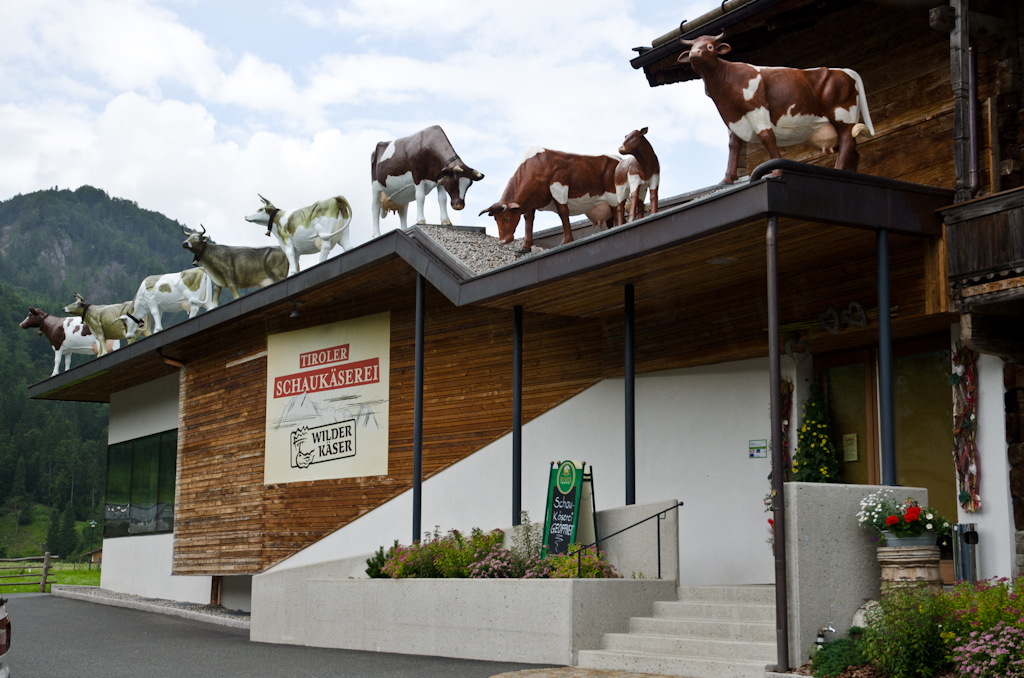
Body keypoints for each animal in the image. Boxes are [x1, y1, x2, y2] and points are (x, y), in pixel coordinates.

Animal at [679, 32, 872, 183]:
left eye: (710, 46)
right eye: (693, 46)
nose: (694, 53)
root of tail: (844, 70)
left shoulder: (757, 109)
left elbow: (767, 137)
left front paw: (777, 171)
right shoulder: (733, 117)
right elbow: (734, 145)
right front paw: (727, 179)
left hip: (841, 114)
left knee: (848, 140)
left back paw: (838, 170)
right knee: (853, 149)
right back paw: (849, 175)